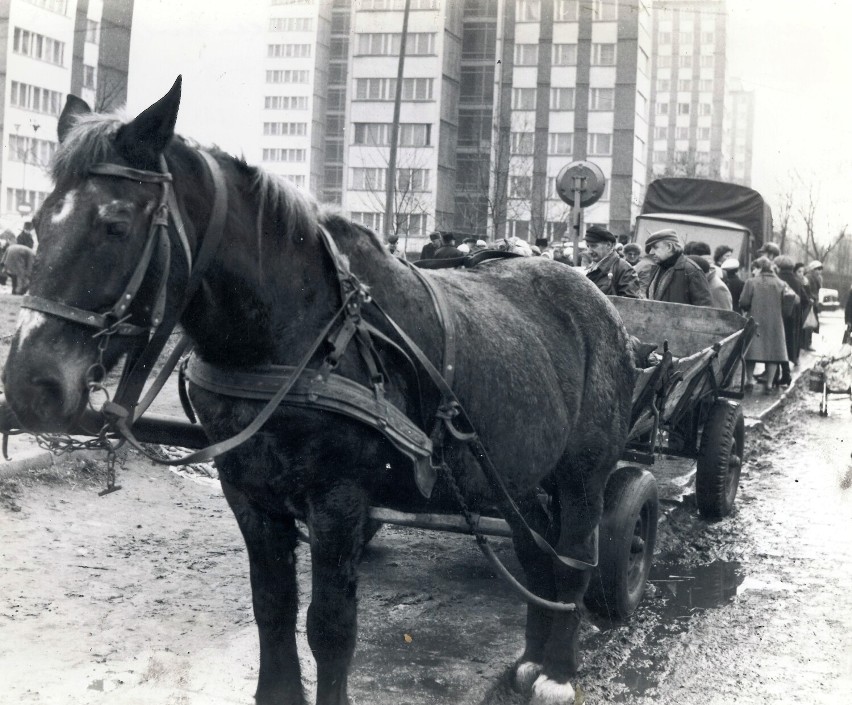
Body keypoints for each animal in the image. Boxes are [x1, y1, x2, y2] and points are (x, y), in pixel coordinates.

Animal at [3, 80, 636, 700]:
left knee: (575, 558)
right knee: (535, 552)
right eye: (37, 226)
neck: (297, 335)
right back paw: (530, 658)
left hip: (583, 475)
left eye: (115, 224)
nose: (30, 385)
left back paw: (557, 670)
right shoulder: (248, 491)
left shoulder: (338, 498)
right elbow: (272, 607)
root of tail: (595, 299)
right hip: (512, 476)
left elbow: (330, 628)